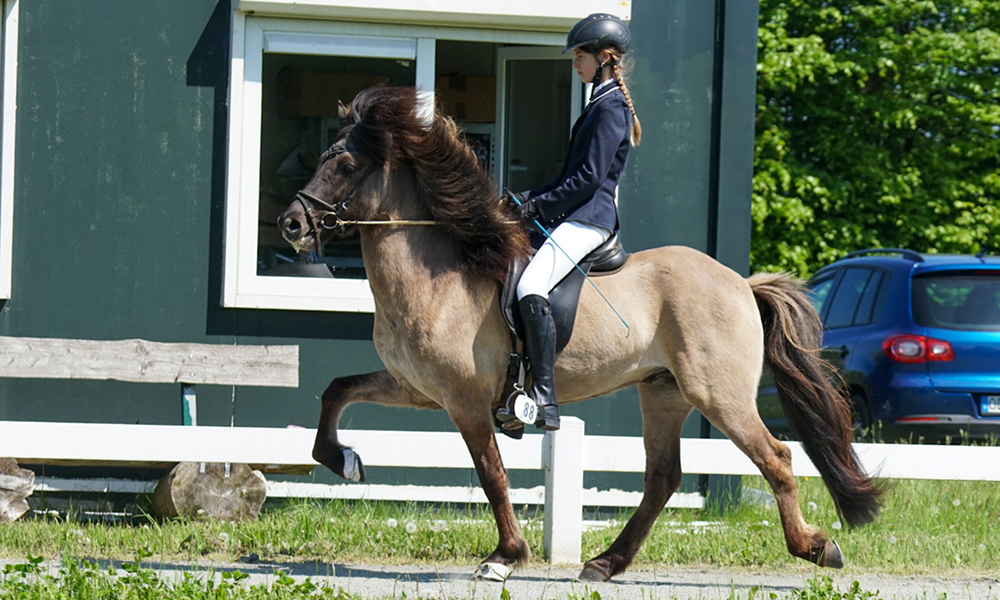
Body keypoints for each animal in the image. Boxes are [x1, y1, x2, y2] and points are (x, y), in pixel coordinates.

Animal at [276, 85, 884, 580]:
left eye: (345, 163)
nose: (291, 224)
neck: (438, 273)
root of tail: (740, 283)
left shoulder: (465, 400)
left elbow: (491, 474)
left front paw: (505, 557)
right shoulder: (419, 388)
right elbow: (336, 390)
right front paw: (344, 461)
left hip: (719, 394)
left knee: (775, 457)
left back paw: (814, 548)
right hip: (663, 391)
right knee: (662, 477)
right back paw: (605, 563)